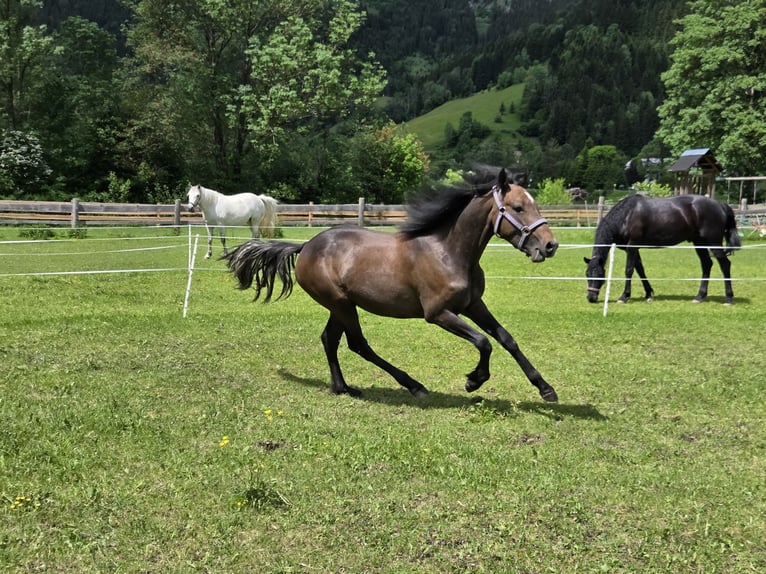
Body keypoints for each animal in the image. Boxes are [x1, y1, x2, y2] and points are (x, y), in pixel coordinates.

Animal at [224, 168, 560, 402]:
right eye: (517, 207)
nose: (550, 246)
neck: (449, 252)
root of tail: (305, 246)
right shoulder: (438, 314)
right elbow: (483, 341)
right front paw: (473, 380)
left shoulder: (474, 305)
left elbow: (507, 339)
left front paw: (546, 389)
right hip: (341, 304)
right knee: (358, 344)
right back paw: (414, 386)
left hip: (340, 305)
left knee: (330, 340)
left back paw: (342, 387)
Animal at [584, 194, 741, 305]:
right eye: (587, 274)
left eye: (600, 275)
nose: (591, 298)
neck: (626, 215)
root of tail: (720, 204)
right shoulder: (634, 248)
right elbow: (640, 270)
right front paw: (649, 294)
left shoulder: (632, 246)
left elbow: (629, 270)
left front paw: (624, 296)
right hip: (699, 243)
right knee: (707, 264)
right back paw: (699, 296)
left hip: (714, 243)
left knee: (725, 265)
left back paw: (728, 298)